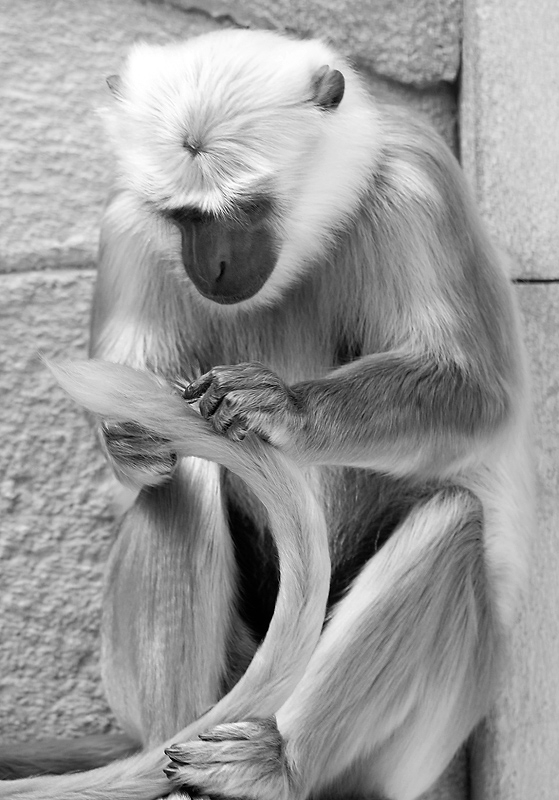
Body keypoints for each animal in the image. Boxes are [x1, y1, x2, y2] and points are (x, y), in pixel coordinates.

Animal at [0, 28, 532, 800]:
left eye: (246, 209)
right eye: (186, 217)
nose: (214, 266)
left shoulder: (418, 185)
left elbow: (481, 394)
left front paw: (286, 406)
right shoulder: (127, 219)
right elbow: (145, 451)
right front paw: (129, 440)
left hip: (419, 740)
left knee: (453, 523)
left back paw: (277, 763)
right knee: (187, 475)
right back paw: (168, 756)